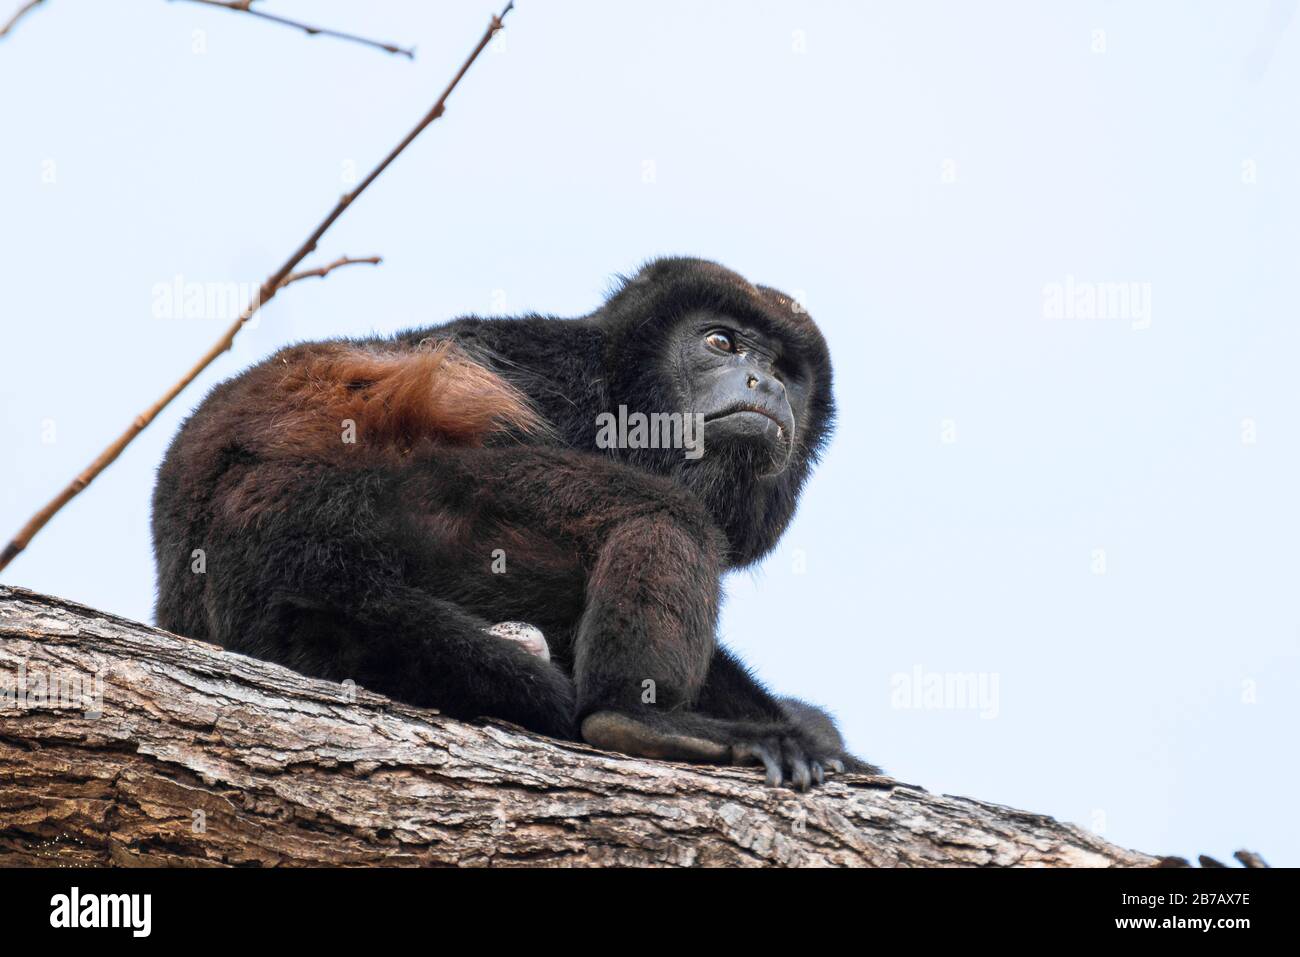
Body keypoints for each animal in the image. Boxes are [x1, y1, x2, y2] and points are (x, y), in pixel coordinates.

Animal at [157, 257, 878, 790]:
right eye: (722, 342)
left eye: (787, 372)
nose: (766, 385)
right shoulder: (560, 384)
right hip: (408, 501)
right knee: (665, 514)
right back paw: (634, 716)